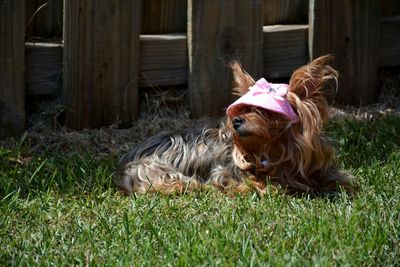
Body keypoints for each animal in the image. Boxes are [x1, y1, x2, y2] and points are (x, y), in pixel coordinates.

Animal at [115, 56, 354, 195]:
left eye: (262, 111)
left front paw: (344, 185)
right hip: (150, 167)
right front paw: (266, 187)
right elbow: (251, 182)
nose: (236, 121)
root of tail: (131, 153)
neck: (275, 151)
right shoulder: (225, 173)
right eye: (241, 109)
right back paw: (183, 185)